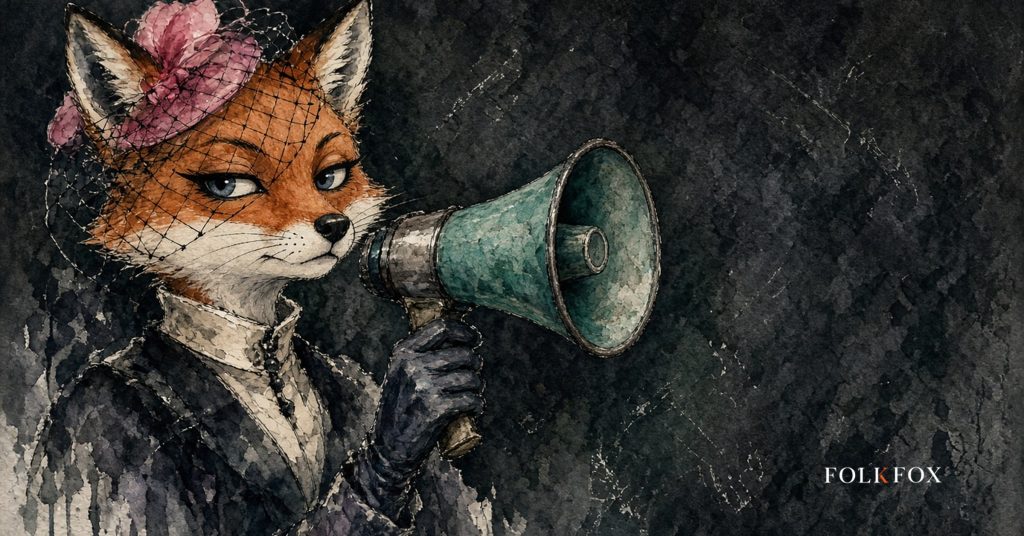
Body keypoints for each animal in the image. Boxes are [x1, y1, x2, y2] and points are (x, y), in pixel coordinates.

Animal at [31, 1, 494, 535]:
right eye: (228, 184)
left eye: (330, 176)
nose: (335, 226)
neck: (265, 356)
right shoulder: (96, 429)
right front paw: (410, 416)